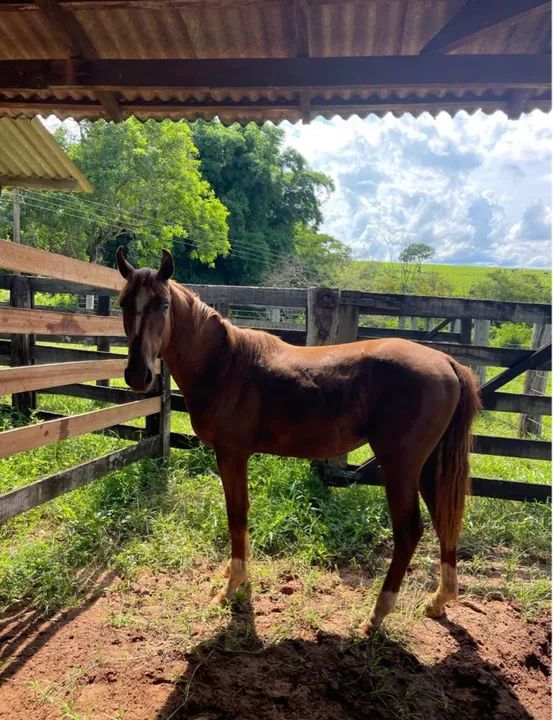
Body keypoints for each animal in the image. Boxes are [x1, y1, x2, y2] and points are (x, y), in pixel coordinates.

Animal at [115, 247, 481, 632]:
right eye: (124, 302)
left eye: (163, 304)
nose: (138, 374)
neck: (225, 364)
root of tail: (446, 361)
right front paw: (235, 576)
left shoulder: (231, 454)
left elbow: (236, 513)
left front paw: (232, 587)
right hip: (428, 466)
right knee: (445, 520)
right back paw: (439, 601)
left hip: (400, 466)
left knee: (409, 531)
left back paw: (377, 614)